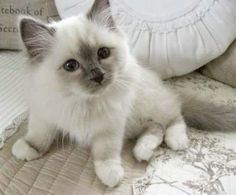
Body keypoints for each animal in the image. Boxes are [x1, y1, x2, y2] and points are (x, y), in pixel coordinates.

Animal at [12, 0, 235, 187]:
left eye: (103, 53)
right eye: (71, 66)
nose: (98, 76)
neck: (81, 101)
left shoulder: (110, 125)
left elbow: (105, 152)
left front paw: (110, 174)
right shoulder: (45, 114)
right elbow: (39, 135)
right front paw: (27, 149)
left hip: (150, 104)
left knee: (174, 118)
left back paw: (175, 141)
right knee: (155, 128)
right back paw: (143, 151)